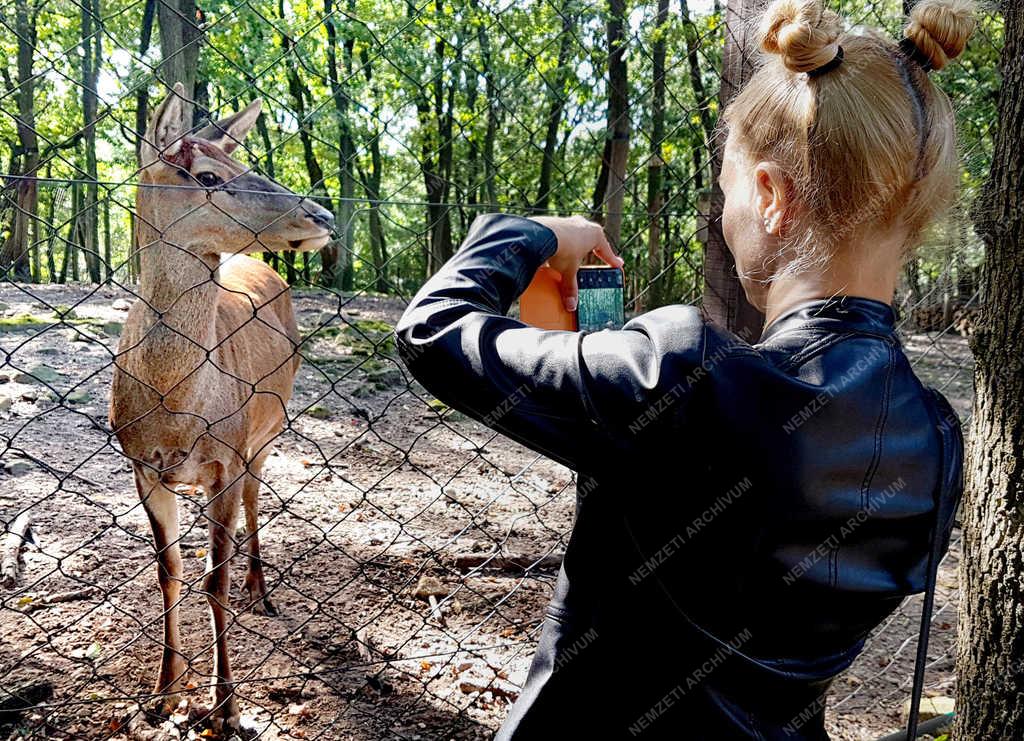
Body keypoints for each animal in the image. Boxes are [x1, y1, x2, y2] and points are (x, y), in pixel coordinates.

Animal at [112, 83, 335, 724]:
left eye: (246, 163)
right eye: (208, 176)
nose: (324, 216)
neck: (176, 413)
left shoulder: (225, 460)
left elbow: (215, 580)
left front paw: (227, 707)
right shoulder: (140, 465)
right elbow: (169, 572)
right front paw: (163, 693)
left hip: (268, 427)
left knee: (260, 498)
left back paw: (261, 590)